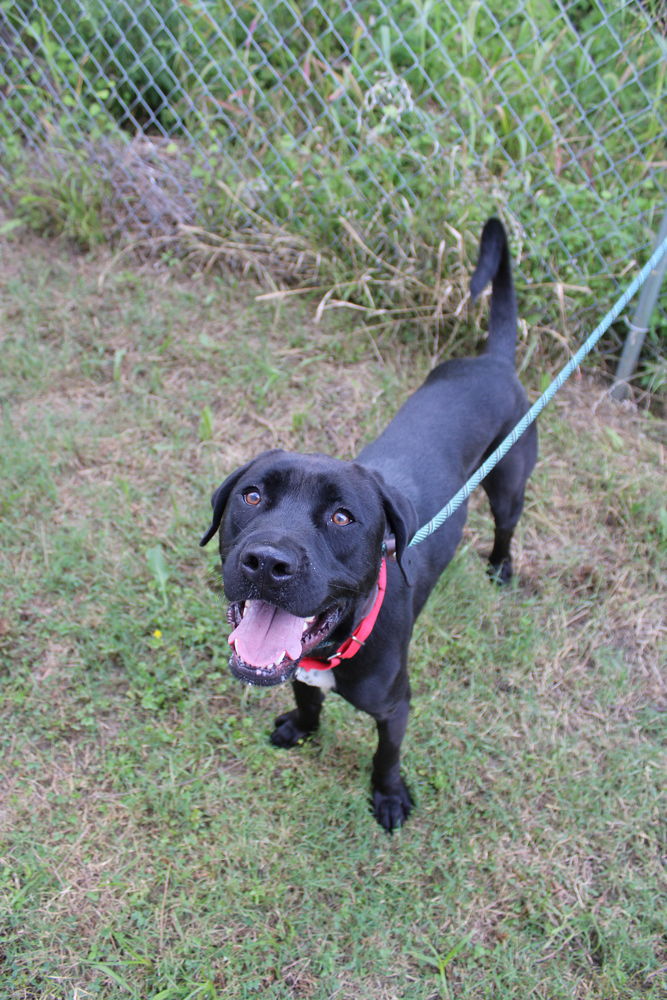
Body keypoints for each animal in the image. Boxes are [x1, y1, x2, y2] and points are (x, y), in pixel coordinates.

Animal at [202, 219, 536, 828]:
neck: (333, 645)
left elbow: (387, 752)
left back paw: (501, 568)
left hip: (510, 484)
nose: (266, 563)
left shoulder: (396, 705)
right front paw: (303, 727)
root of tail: (494, 361)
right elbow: (305, 696)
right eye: (252, 495)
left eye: (342, 517)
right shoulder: (297, 672)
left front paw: (388, 795)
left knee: (506, 527)